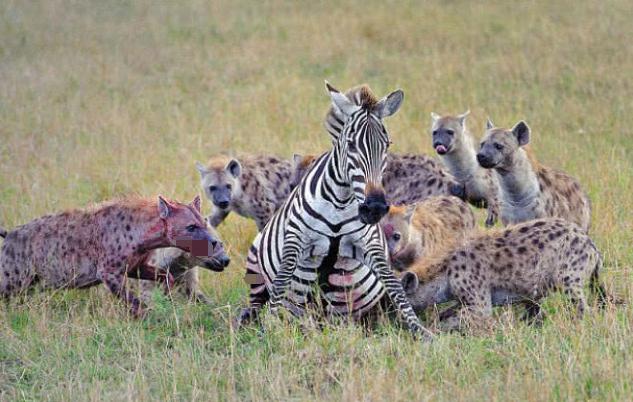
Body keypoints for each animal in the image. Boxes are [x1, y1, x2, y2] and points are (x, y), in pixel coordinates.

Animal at [237, 81, 434, 340]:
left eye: (387, 145)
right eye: (350, 145)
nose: (375, 207)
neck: (340, 203)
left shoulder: (369, 244)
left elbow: (395, 287)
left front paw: (422, 331)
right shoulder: (295, 239)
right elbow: (281, 281)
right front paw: (269, 328)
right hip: (255, 268)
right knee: (256, 304)